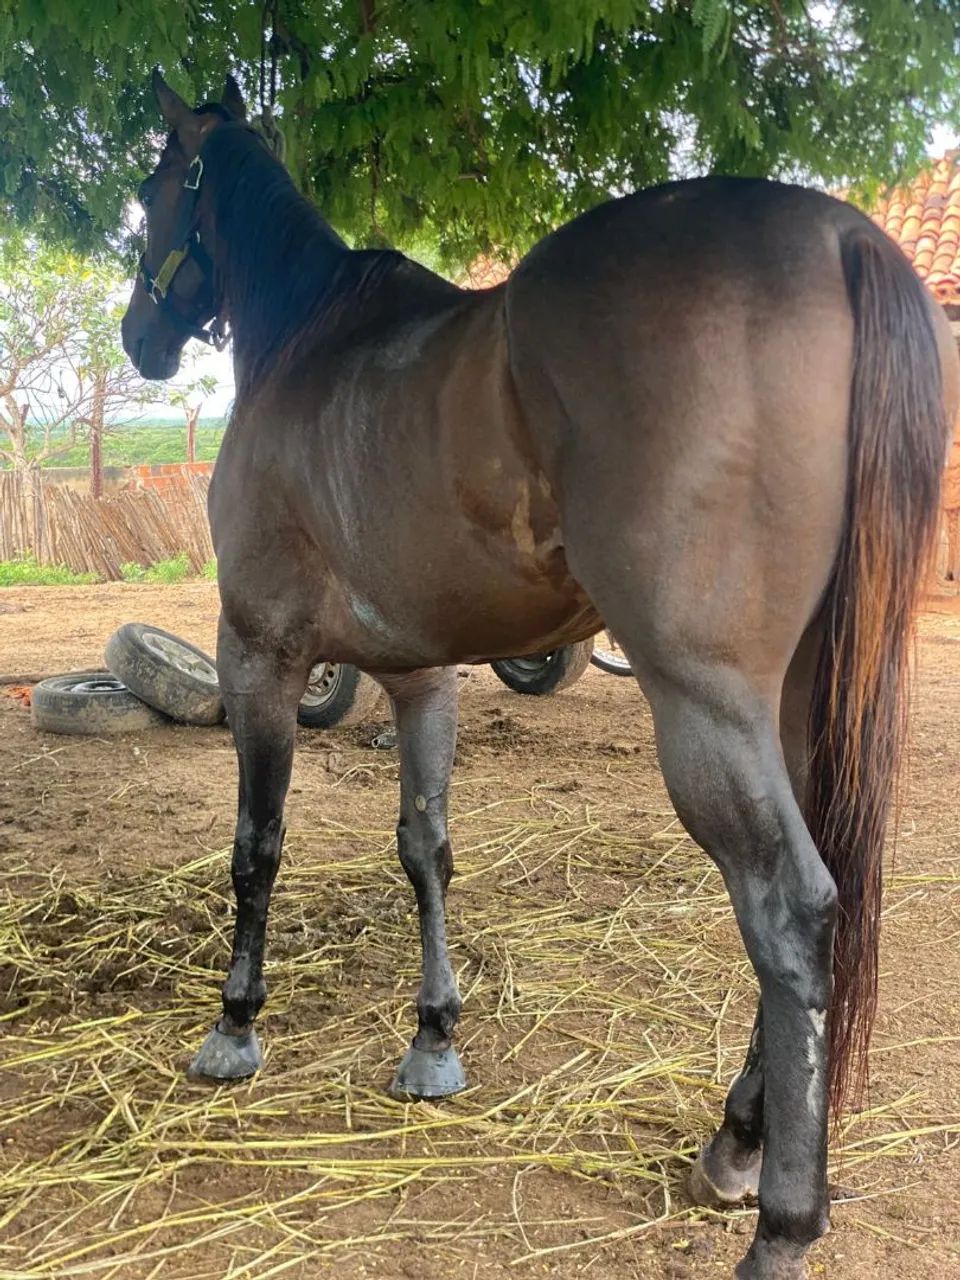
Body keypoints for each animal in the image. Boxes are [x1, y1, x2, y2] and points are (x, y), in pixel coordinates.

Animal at [121, 71, 958, 1280]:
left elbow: (257, 847)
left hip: (707, 706)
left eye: (154, 194)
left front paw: (235, 1023)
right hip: (799, 703)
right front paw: (433, 1040)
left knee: (792, 913)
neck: (311, 339)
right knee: (825, 889)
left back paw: (778, 1223)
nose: (139, 336)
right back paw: (733, 1139)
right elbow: (425, 850)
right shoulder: (422, 675)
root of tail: (839, 234)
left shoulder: (259, 656)